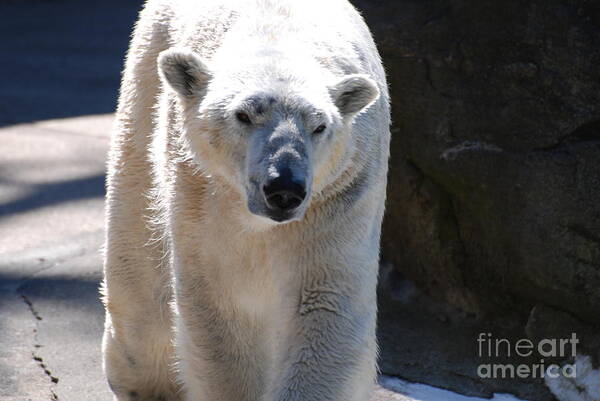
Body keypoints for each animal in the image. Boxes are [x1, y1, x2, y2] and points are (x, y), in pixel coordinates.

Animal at [101, 0, 392, 400]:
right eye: (243, 115)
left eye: (319, 126)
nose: (284, 188)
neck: (280, 33)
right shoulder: (204, 193)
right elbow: (222, 305)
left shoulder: (339, 195)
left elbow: (324, 301)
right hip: (144, 86)